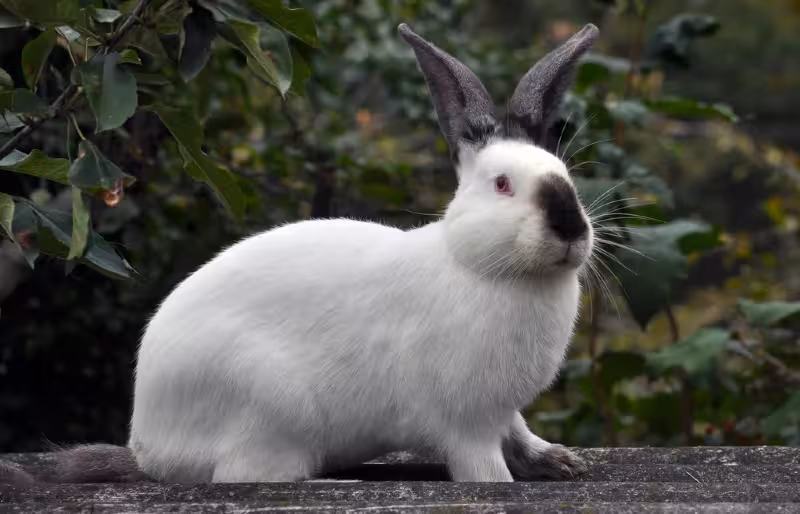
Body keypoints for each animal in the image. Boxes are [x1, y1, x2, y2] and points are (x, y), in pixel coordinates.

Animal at [1, 22, 599, 485]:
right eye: (502, 184)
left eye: (566, 177)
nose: (571, 227)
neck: (480, 265)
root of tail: (149, 448)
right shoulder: (467, 423)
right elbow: (484, 470)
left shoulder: (503, 411)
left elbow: (520, 433)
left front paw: (560, 462)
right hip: (270, 406)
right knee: (242, 476)